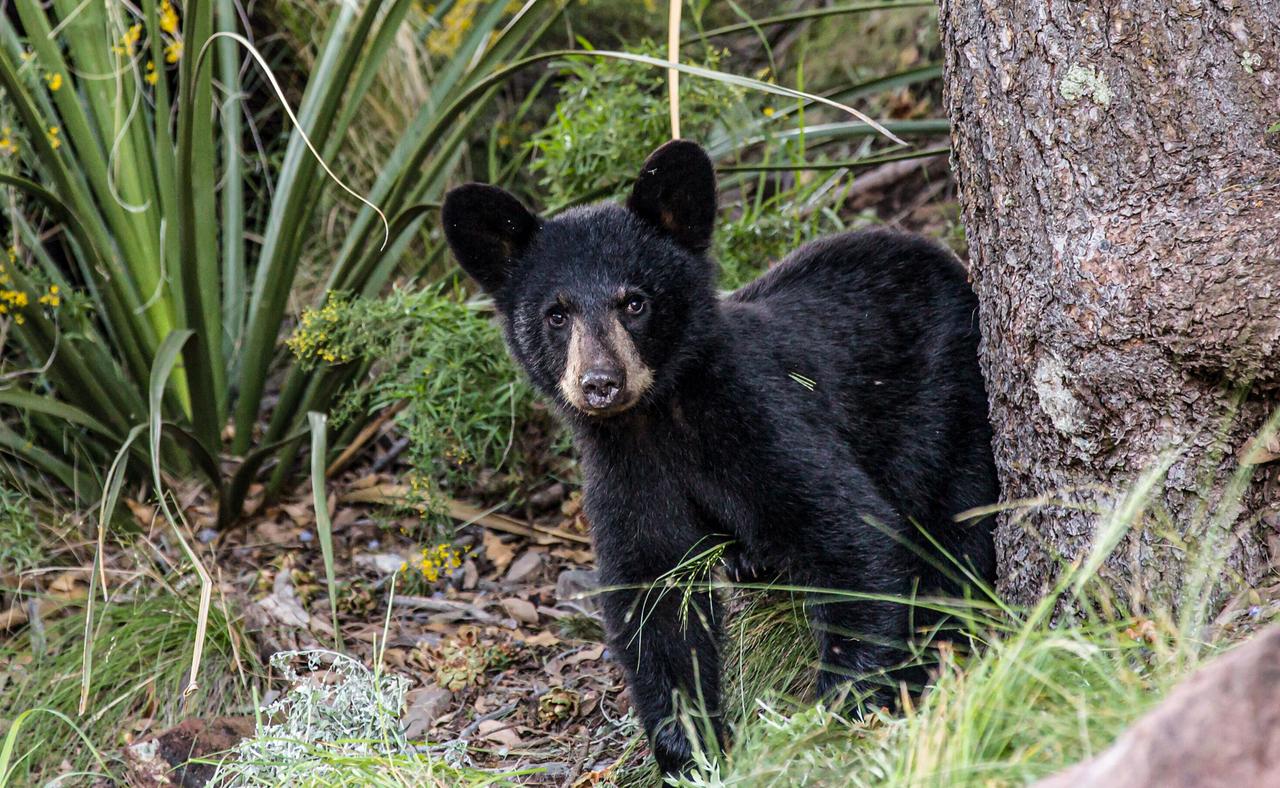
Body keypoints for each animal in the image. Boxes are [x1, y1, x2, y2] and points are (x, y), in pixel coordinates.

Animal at [441, 140, 998, 775]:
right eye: (556, 313)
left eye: (635, 302)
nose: (600, 383)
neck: (660, 419)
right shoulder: (625, 472)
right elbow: (655, 599)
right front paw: (689, 747)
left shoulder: (759, 420)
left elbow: (852, 539)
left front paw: (846, 713)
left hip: (951, 407)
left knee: (958, 529)